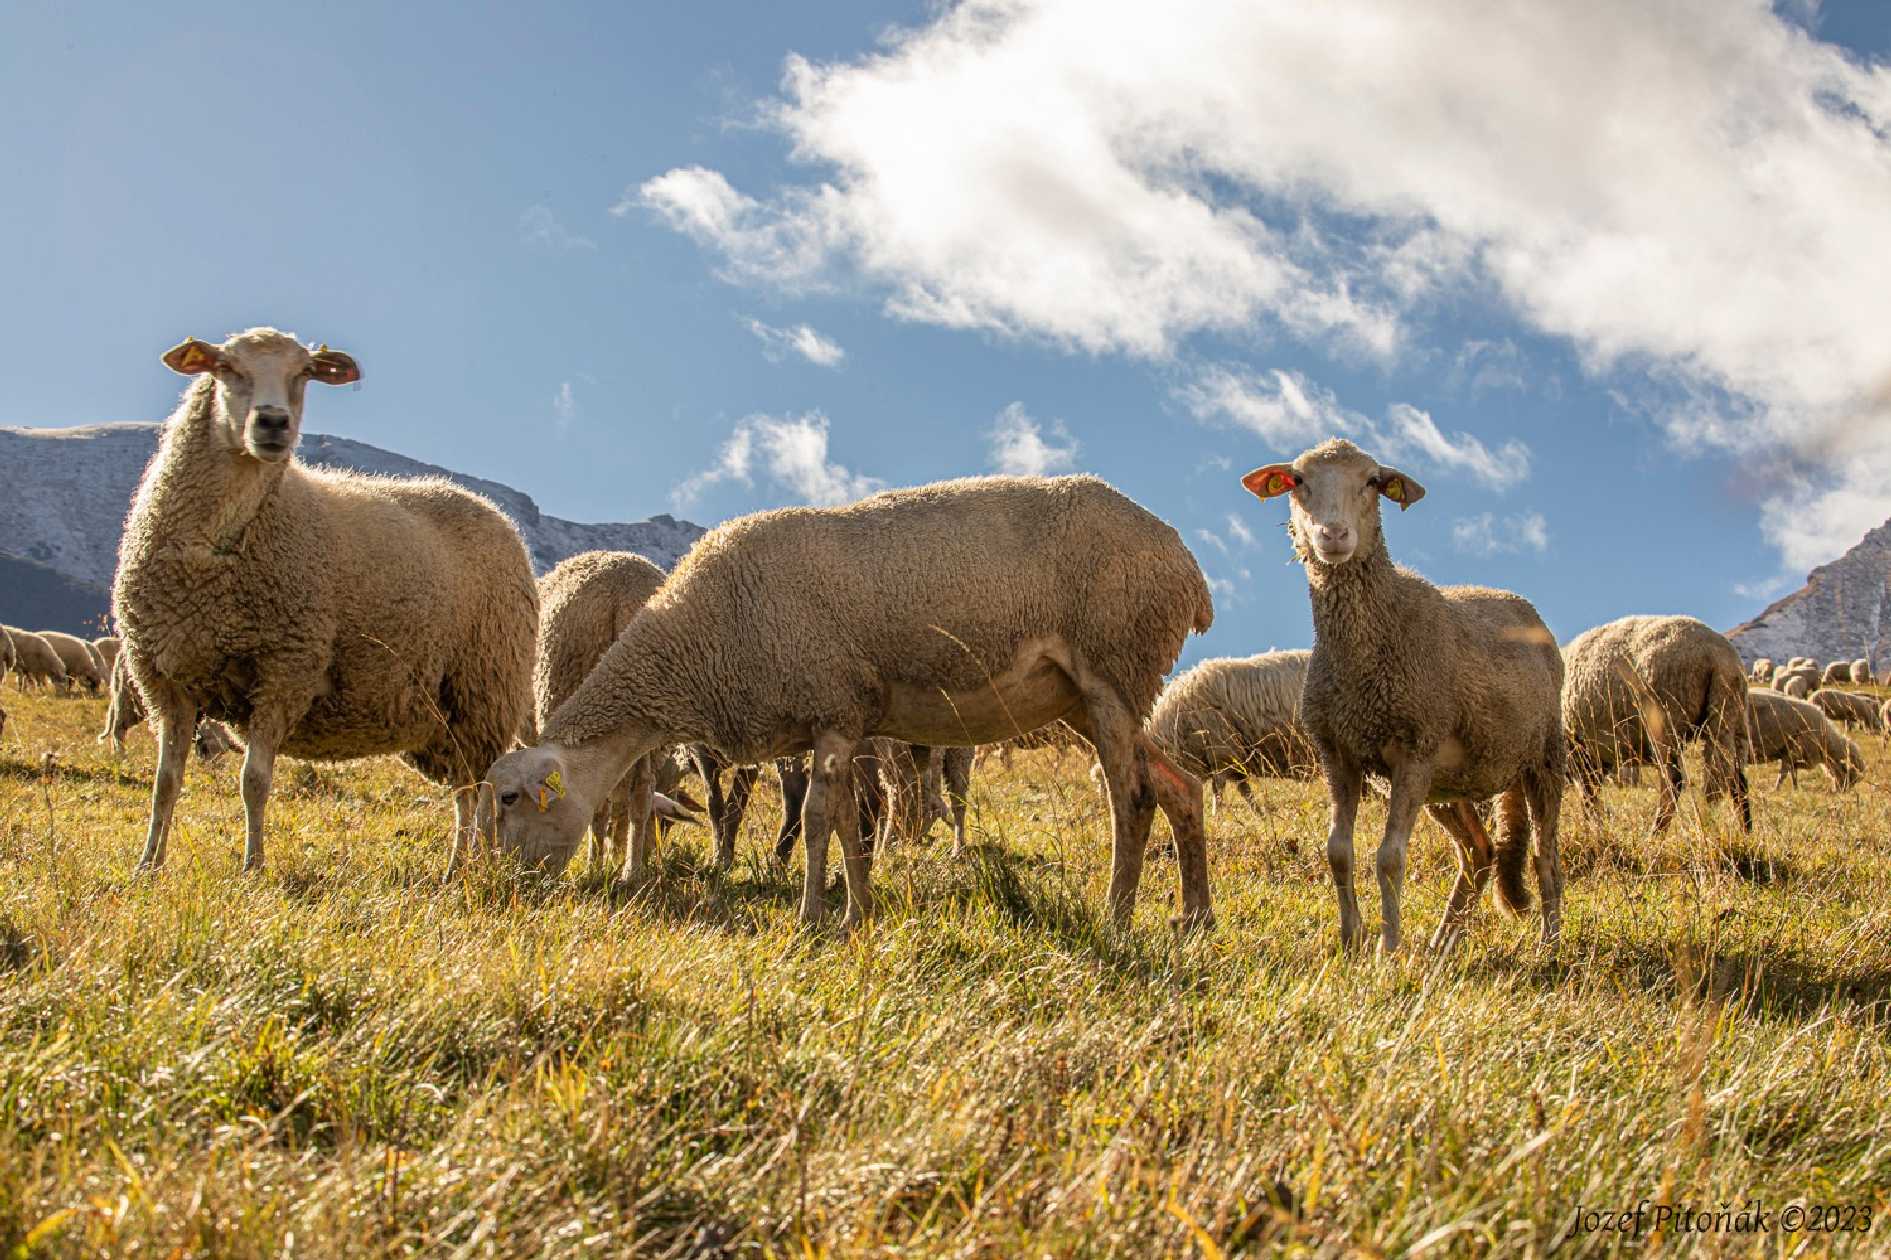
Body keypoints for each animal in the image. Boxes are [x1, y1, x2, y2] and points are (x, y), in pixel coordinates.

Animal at [116, 329, 540, 870]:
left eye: (303, 373)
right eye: (227, 367)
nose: (273, 422)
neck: (210, 556)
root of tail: (493, 512)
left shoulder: (285, 667)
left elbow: (254, 782)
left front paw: (253, 866)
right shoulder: (164, 676)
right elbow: (165, 783)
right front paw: (147, 865)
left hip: (483, 688)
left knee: (481, 788)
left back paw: (474, 866)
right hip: (441, 713)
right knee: (463, 790)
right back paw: (454, 868)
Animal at [476, 465, 1210, 927]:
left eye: (509, 798)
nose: (506, 889)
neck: (702, 636)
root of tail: (1185, 564)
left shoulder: (830, 708)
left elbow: (818, 821)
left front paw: (811, 918)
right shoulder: (848, 720)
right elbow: (853, 825)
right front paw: (857, 913)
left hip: (1113, 664)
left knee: (1132, 797)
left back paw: (1116, 917)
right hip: (1091, 695)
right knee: (1178, 785)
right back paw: (1194, 913)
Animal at [1142, 643, 1323, 809]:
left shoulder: (1222, 753)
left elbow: (1220, 792)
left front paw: (1218, 816)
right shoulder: (1231, 759)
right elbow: (1244, 791)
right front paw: (1260, 814)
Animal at [1240, 437, 1565, 945]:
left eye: (1373, 481)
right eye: (1297, 480)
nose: (1334, 535)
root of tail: (1521, 604)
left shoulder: (1413, 748)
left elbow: (1389, 858)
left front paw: (1387, 947)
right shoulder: (1339, 752)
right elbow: (1338, 850)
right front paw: (1351, 940)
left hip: (1542, 756)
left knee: (1545, 857)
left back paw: (1548, 944)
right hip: (1449, 780)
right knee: (1479, 852)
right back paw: (1441, 945)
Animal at [1558, 609, 1747, 828]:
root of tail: (1719, 657)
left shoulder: (1577, 748)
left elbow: (1587, 796)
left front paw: (1595, 829)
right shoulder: (1596, 754)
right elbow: (1591, 794)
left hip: (1665, 721)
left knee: (1673, 781)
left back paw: (1655, 831)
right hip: (1729, 715)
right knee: (1735, 778)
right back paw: (1743, 830)